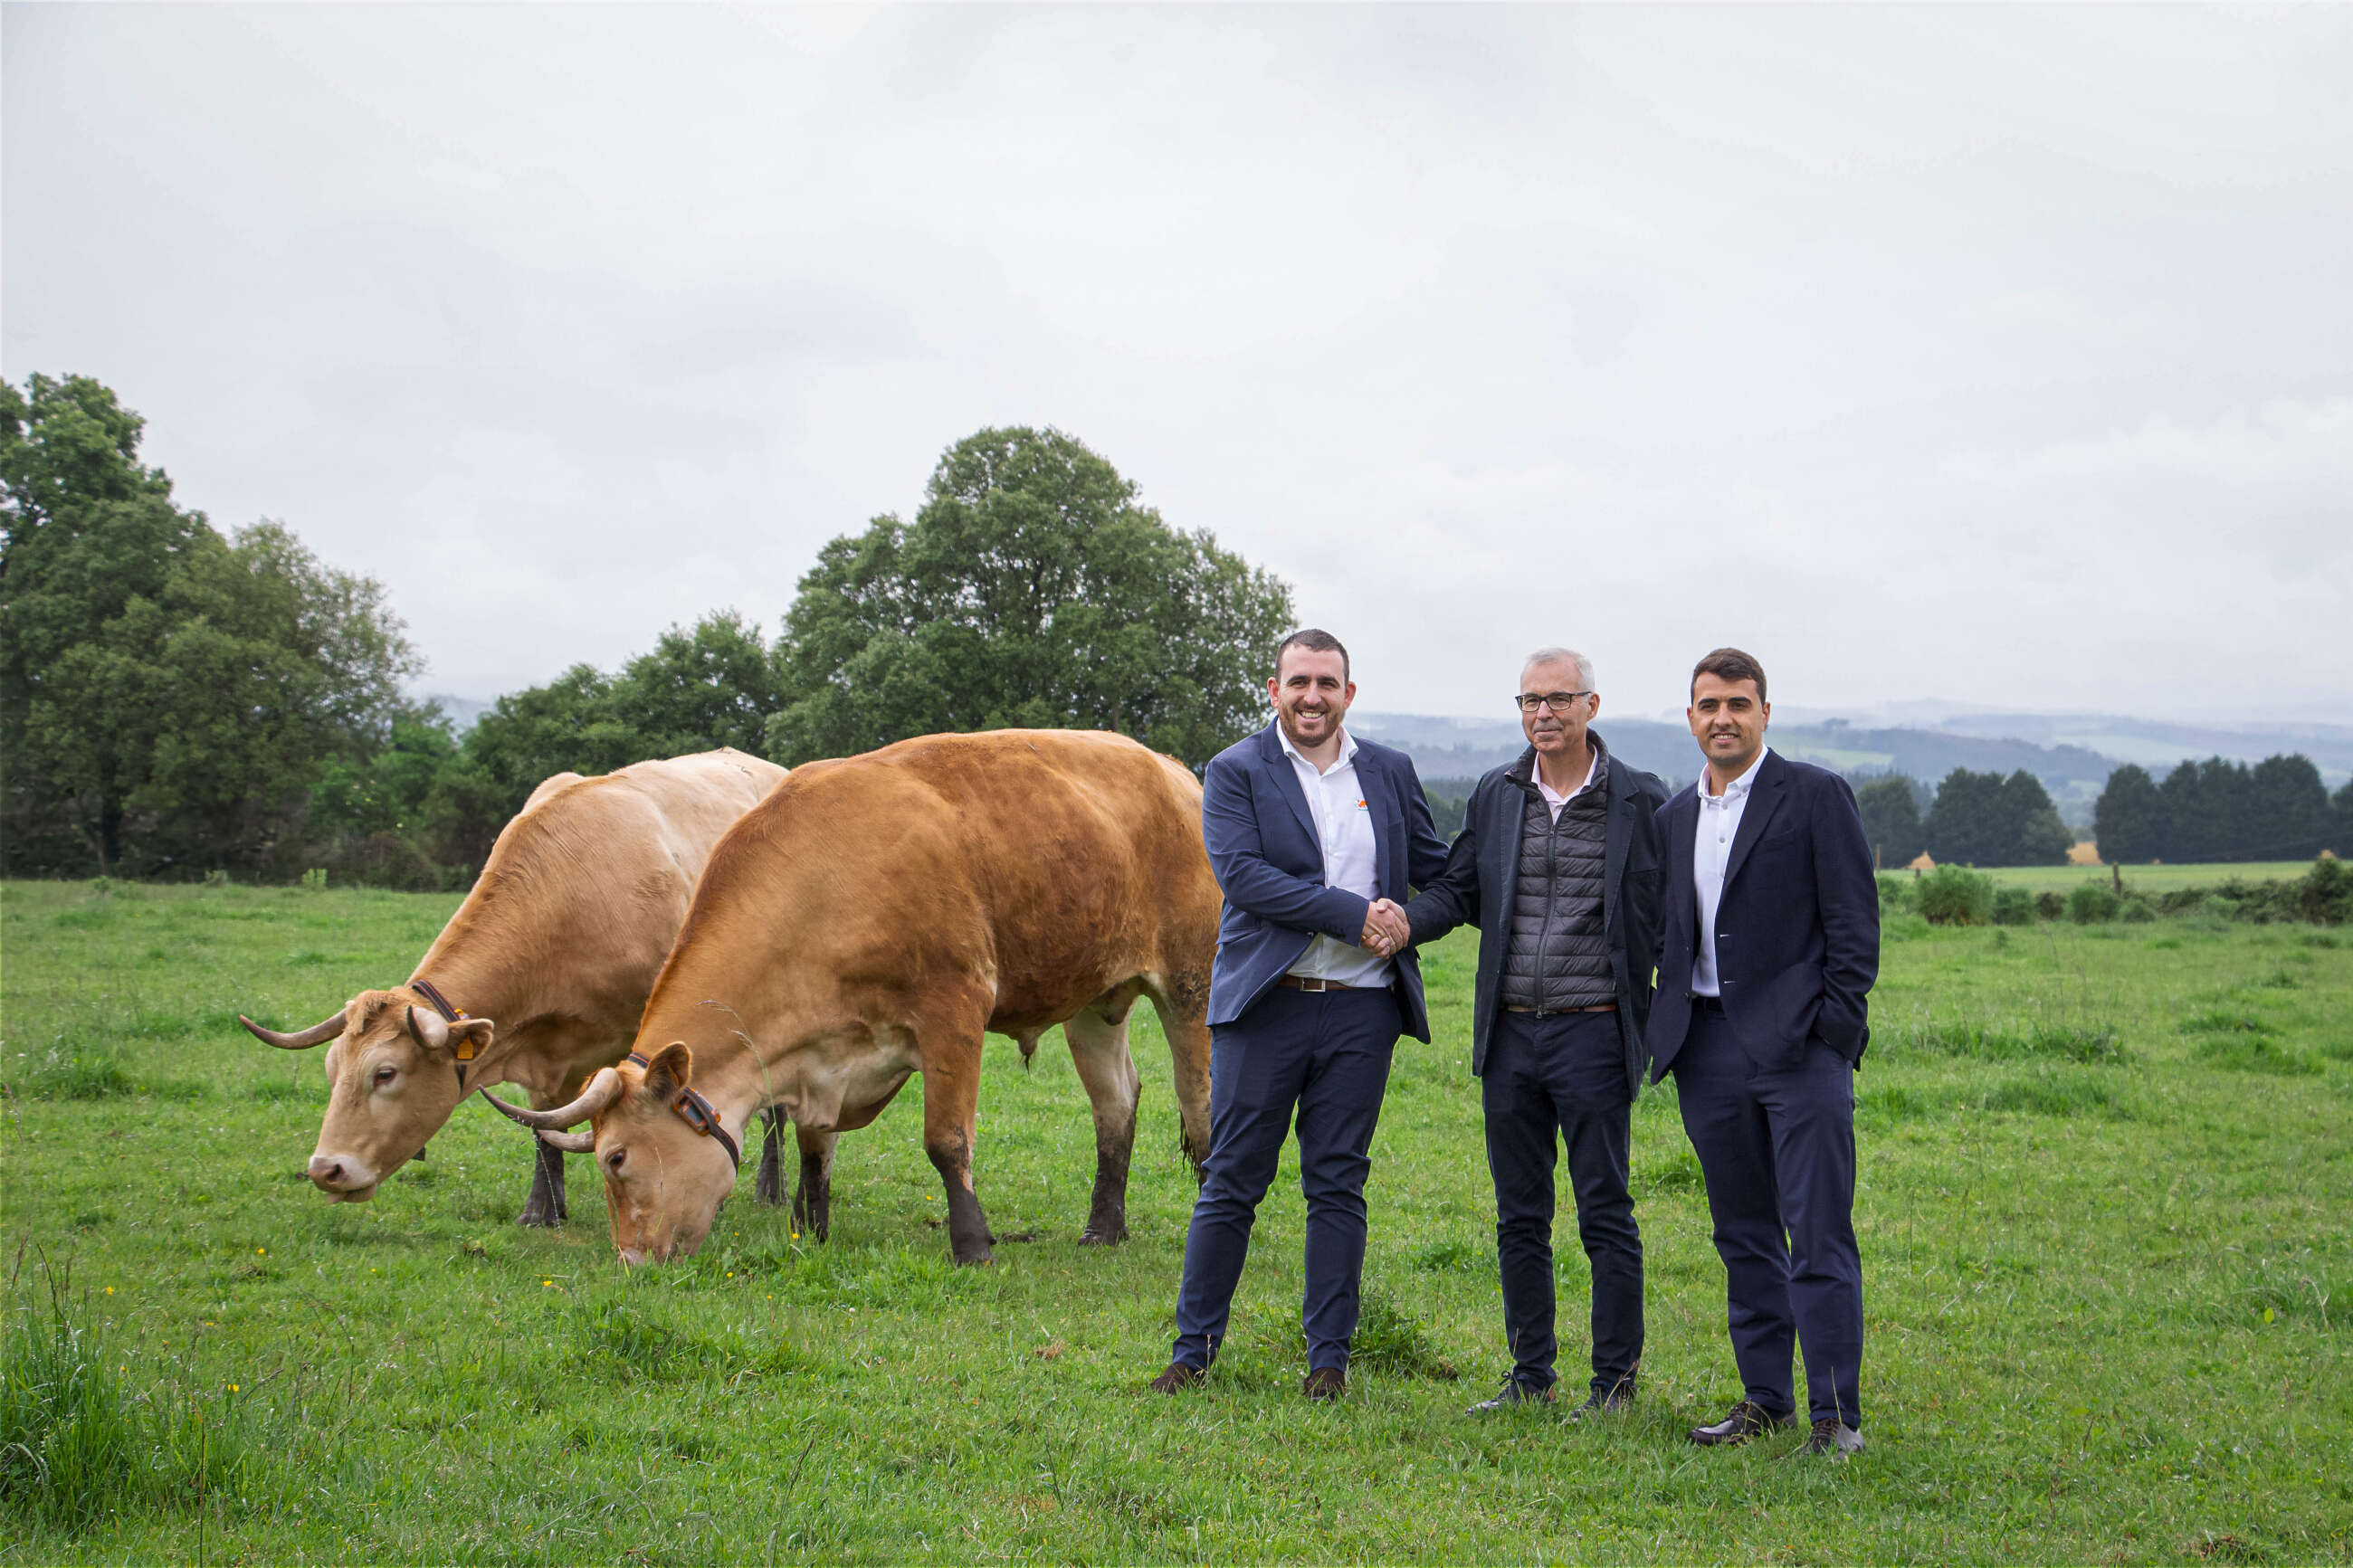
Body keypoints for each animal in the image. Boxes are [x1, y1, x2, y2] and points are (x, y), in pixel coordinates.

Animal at [244, 747, 786, 1222]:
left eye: (385, 1073)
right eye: (332, 1069)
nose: (325, 1170)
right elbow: (546, 1130)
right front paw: (543, 1212)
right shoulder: (542, 1053)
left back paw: (772, 1191)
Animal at [489, 728, 1224, 1269]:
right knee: (1117, 1106)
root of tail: (1174, 771)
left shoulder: (954, 1010)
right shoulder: (824, 1057)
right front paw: (810, 1228)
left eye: (616, 1158)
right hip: (1096, 1003)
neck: (826, 884)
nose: (632, 1261)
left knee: (1201, 1105)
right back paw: (1104, 1227)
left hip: (1194, 986)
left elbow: (946, 1141)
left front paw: (972, 1244)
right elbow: (814, 1147)